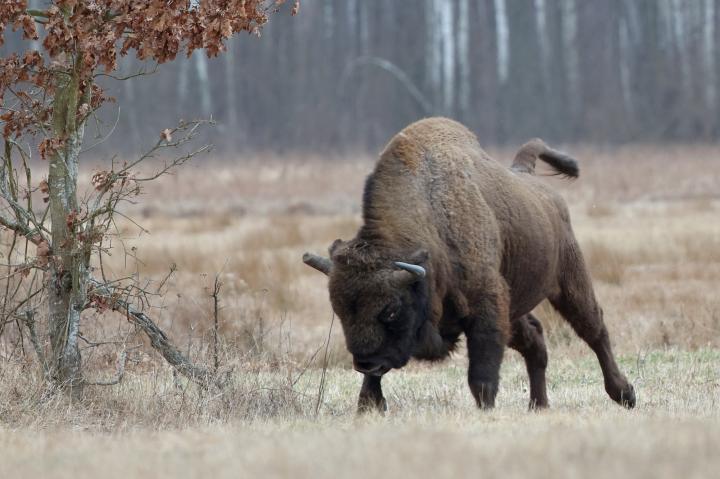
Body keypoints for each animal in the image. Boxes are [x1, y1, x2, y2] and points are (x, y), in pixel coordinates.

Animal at [303, 117, 635, 413]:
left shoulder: (486, 305)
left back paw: (624, 394)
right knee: (535, 340)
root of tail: (528, 176)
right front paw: (368, 405)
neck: (431, 220)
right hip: (515, 308)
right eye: (339, 309)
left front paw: (485, 409)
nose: (365, 362)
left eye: (391, 310)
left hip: (568, 282)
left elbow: (482, 377)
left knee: (594, 329)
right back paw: (538, 406)